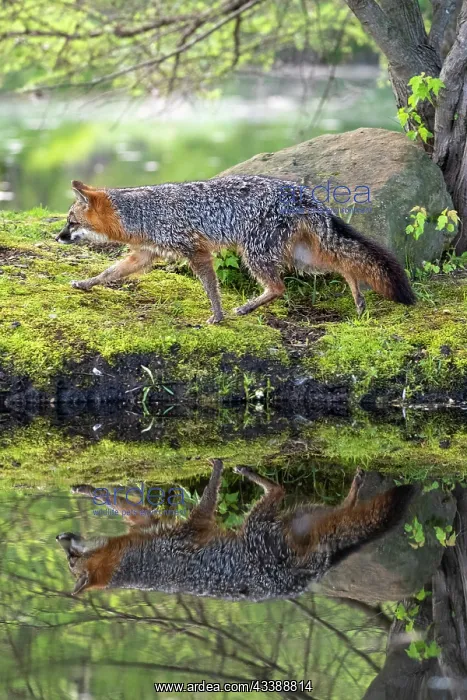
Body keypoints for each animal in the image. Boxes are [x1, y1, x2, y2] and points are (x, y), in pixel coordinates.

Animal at [55, 176, 415, 324]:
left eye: (71, 222)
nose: (58, 237)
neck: (144, 212)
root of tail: (301, 192)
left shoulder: (196, 251)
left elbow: (210, 287)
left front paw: (217, 316)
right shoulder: (145, 254)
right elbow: (108, 273)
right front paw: (84, 284)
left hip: (254, 253)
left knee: (279, 287)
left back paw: (245, 308)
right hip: (301, 257)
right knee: (344, 264)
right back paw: (357, 296)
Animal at [57, 460, 414, 601]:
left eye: (70, 557)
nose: (59, 537)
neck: (135, 561)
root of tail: (308, 577)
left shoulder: (158, 523)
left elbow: (112, 499)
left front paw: (84, 488)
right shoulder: (184, 526)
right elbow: (208, 495)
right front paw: (218, 465)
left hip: (291, 516)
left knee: (338, 507)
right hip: (269, 521)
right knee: (290, 492)